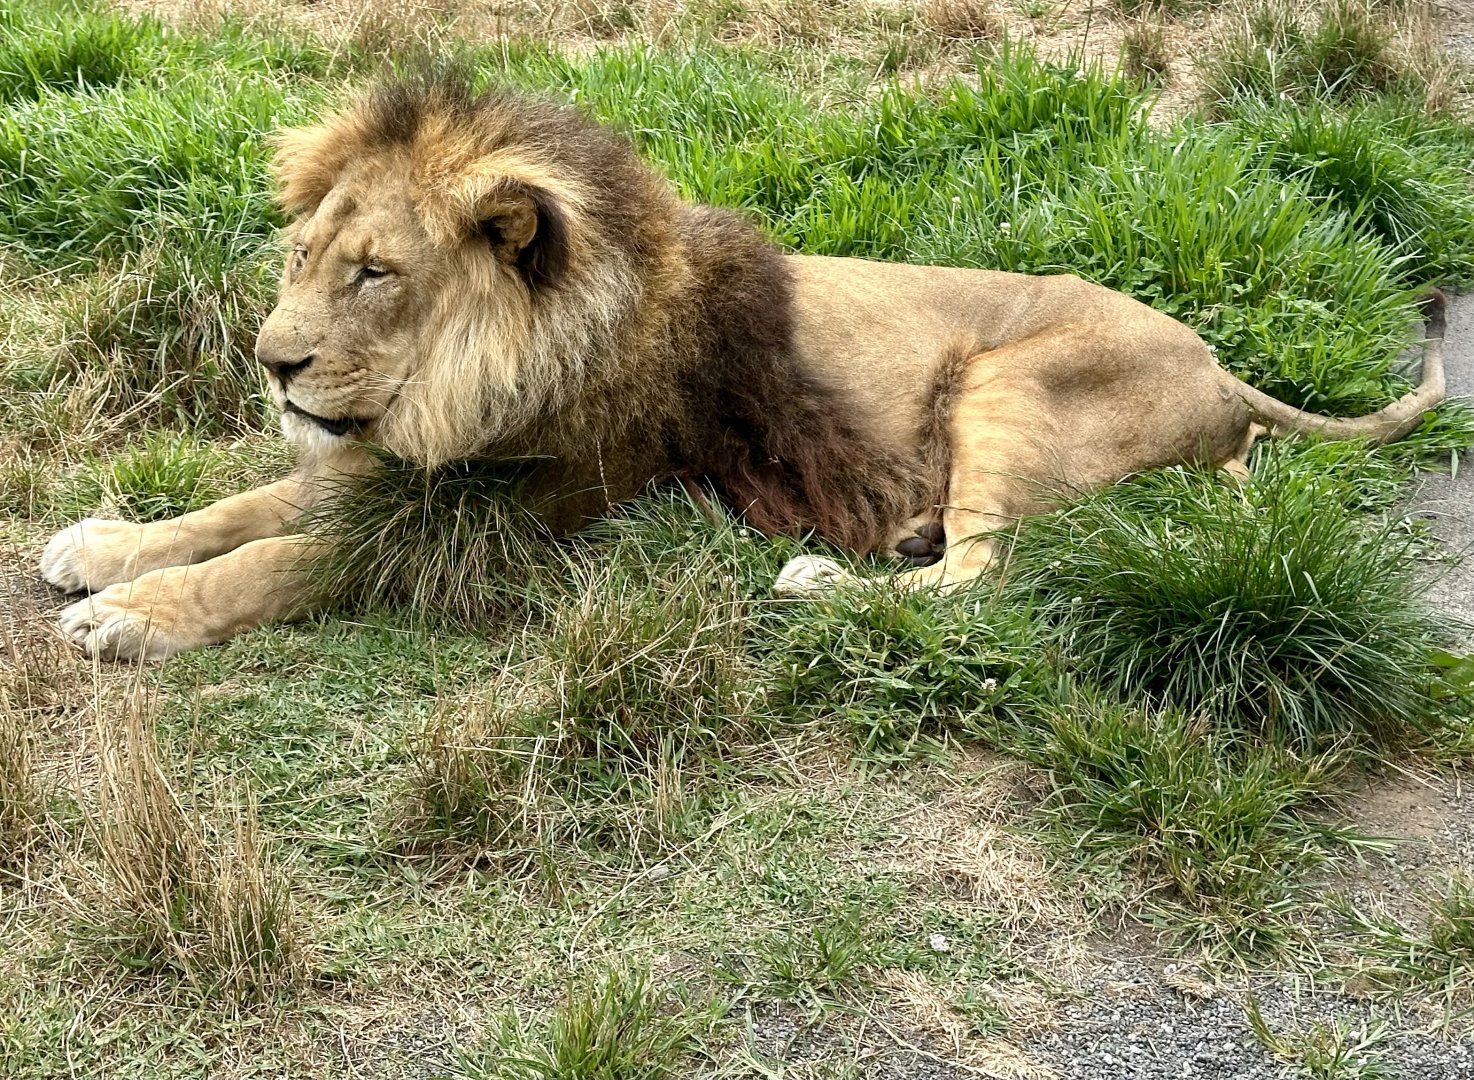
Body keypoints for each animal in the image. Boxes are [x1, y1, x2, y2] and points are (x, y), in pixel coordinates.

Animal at [40, 76, 1446, 661]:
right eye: (304, 258)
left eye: (377, 274)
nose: (270, 365)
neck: (469, 385)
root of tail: (1225, 371)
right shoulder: (390, 464)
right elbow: (243, 505)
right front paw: (107, 544)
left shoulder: (526, 503)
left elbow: (285, 556)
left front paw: (138, 613)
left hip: (1009, 384)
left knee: (978, 581)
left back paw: (820, 581)